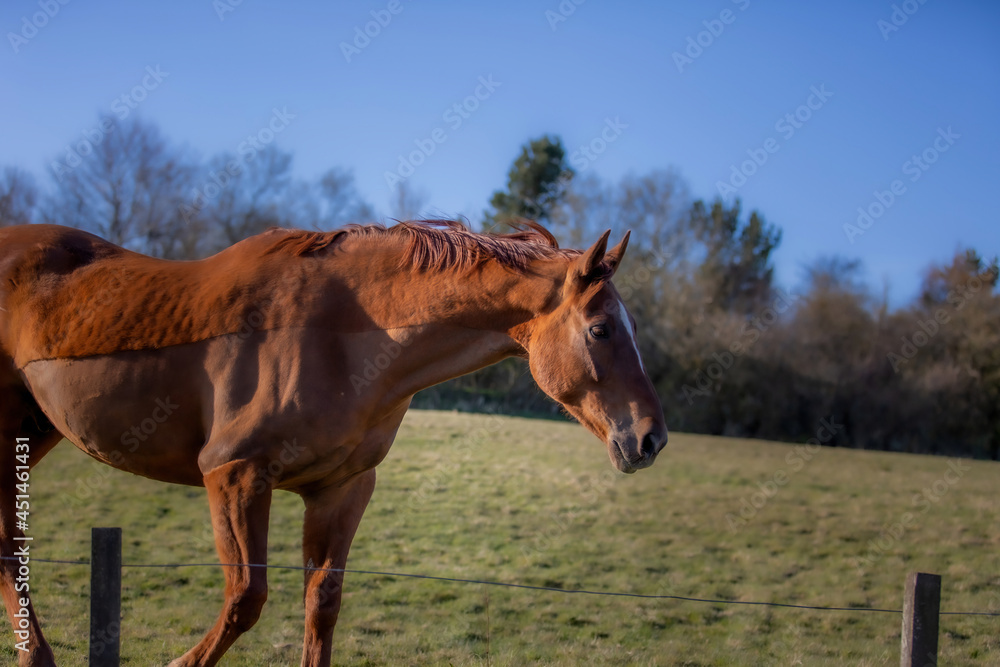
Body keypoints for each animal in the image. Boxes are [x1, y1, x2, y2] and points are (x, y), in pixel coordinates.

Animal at [0, 219, 667, 666]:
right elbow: (246, 596)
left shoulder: (340, 488)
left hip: (31, 435)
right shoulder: (235, 474)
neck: (340, 330)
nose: (650, 438)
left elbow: (322, 602)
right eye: (601, 330)